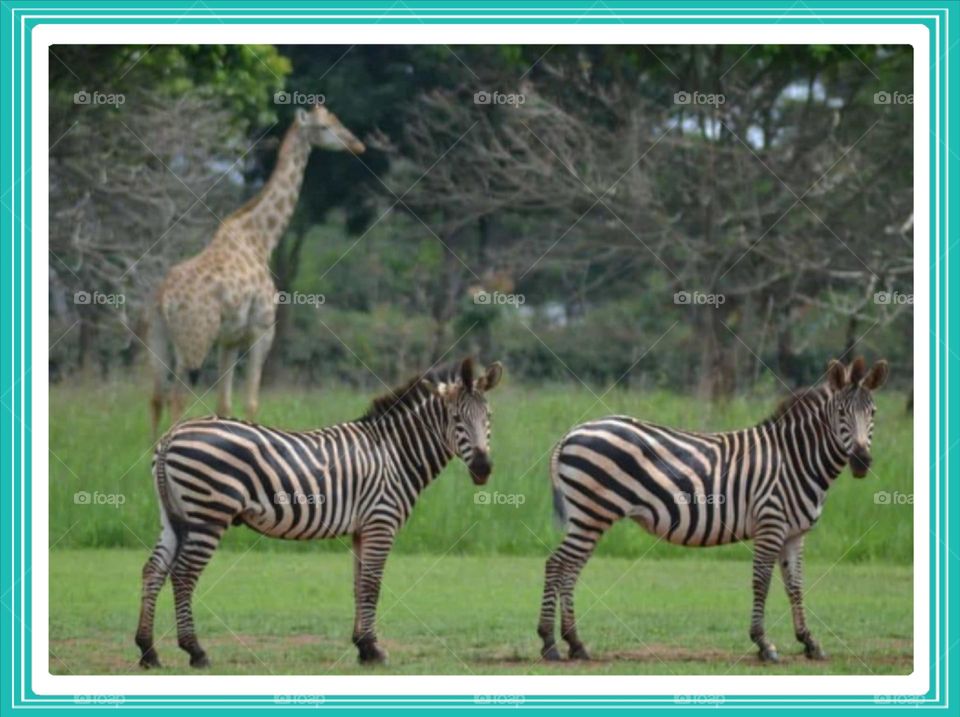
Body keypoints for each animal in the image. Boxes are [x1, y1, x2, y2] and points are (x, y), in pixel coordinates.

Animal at [135, 357, 503, 668]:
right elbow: (373, 584)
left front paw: (362, 646)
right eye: (456, 419)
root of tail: (172, 435)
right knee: (183, 575)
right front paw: (374, 650)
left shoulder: (362, 528)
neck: (394, 454)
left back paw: (148, 651)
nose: (483, 469)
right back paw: (195, 651)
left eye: (488, 418)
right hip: (208, 516)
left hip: (174, 517)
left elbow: (358, 584)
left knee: (154, 570)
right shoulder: (380, 522)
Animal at [537, 356, 888, 663]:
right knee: (557, 564)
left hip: (589, 517)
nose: (862, 461)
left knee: (569, 569)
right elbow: (762, 581)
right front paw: (764, 644)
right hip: (592, 514)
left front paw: (809, 642)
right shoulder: (770, 524)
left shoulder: (794, 533)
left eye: (872, 412)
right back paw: (550, 644)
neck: (794, 459)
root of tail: (571, 433)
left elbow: (795, 585)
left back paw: (575, 644)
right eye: (841, 412)